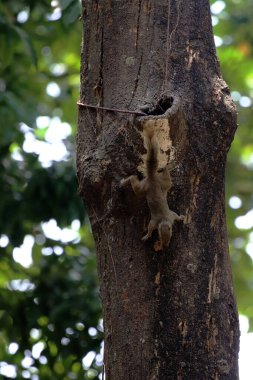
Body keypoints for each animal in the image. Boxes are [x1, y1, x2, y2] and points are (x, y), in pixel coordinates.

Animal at [120, 120, 184, 248]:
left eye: (170, 235)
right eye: (160, 235)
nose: (165, 245)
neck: (164, 220)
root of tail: (152, 178)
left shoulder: (171, 216)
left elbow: (176, 216)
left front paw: (182, 218)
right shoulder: (156, 221)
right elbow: (150, 227)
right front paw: (147, 236)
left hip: (159, 184)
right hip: (148, 187)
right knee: (134, 179)